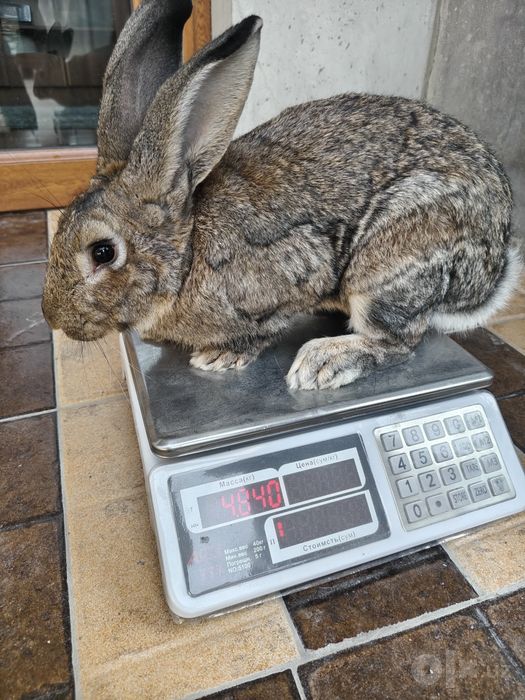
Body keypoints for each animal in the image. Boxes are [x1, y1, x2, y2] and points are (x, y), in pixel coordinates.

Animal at [42, 0, 520, 392]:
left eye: (103, 252)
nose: (53, 317)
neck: (187, 252)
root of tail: (492, 270)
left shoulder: (296, 268)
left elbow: (268, 327)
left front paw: (222, 356)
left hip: (392, 262)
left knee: (398, 341)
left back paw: (323, 360)